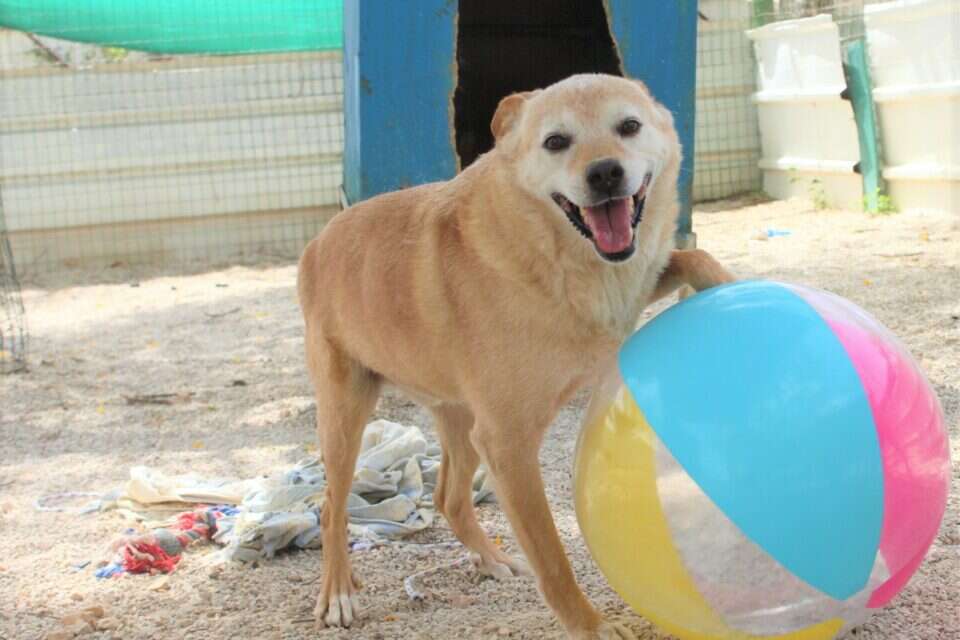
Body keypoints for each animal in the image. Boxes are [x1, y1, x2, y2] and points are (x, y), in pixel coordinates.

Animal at [297, 73, 735, 639]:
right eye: (556, 141)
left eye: (629, 126)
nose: (605, 173)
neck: (554, 254)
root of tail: (318, 242)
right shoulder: (507, 444)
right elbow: (552, 555)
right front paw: (589, 625)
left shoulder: (629, 291)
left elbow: (691, 254)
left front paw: (736, 289)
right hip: (347, 416)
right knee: (332, 505)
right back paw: (338, 593)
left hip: (460, 420)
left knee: (448, 497)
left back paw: (491, 559)